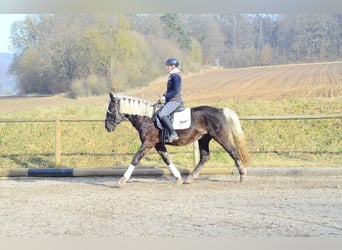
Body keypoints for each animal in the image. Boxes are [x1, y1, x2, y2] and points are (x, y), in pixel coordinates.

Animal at [103, 93, 248, 186]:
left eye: (111, 110)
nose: (107, 127)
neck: (146, 118)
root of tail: (220, 110)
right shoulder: (158, 144)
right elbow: (167, 159)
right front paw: (178, 178)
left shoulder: (148, 142)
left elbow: (136, 158)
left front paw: (122, 180)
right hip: (203, 139)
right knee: (205, 156)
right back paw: (189, 178)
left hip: (220, 136)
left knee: (233, 151)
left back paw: (242, 175)